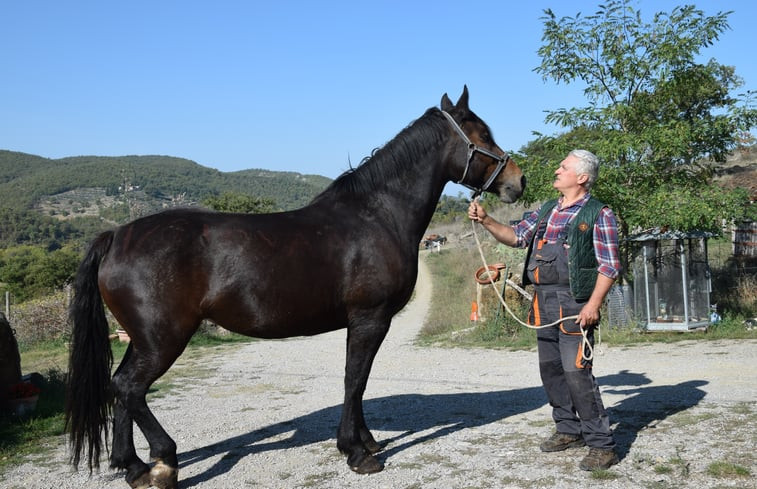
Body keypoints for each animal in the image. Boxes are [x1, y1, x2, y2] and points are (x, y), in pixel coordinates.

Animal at [68, 86, 524, 486]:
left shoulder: (361, 323)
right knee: (130, 387)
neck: (376, 215)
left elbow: (357, 380)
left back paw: (132, 466)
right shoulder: (370, 319)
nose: (517, 182)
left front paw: (367, 442)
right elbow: (354, 379)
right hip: (163, 338)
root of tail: (116, 236)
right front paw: (357, 453)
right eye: (482, 136)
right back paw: (162, 463)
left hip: (143, 338)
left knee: (121, 387)